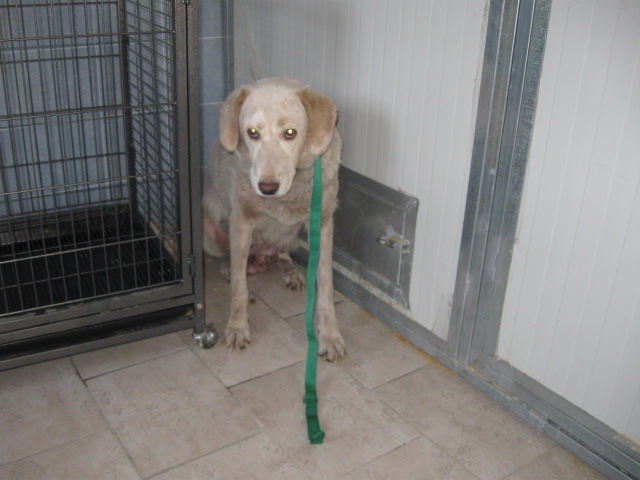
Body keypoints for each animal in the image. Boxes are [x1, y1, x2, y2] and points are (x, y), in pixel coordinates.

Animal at [202, 78, 346, 361]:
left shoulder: (323, 225)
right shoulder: (241, 223)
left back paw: (290, 271)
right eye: (252, 133)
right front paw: (238, 327)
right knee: (226, 257)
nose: (267, 187)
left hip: (292, 236)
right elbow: (239, 289)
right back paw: (227, 266)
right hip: (209, 235)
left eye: (290, 133)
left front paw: (330, 336)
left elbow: (325, 288)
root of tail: (259, 257)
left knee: (282, 253)